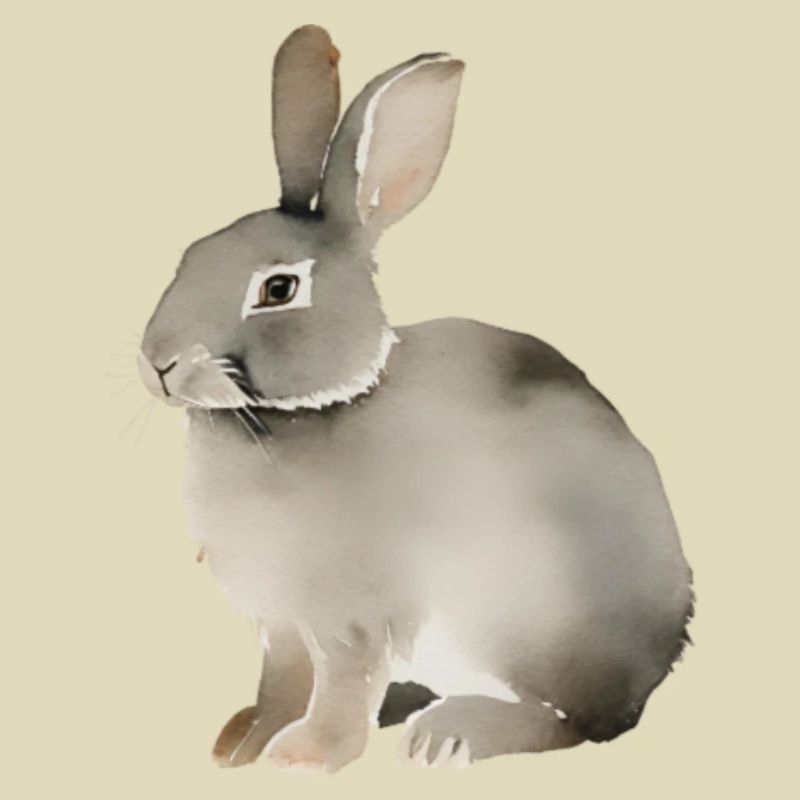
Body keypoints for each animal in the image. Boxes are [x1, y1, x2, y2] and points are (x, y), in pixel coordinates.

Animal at [138, 24, 693, 772]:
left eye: (278, 289)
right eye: (192, 253)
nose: (157, 362)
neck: (297, 415)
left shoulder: (350, 615)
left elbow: (341, 684)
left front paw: (306, 755)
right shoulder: (280, 623)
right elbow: (282, 680)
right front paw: (241, 744)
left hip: (516, 618)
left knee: (569, 721)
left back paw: (452, 731)